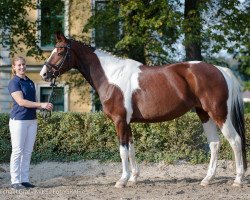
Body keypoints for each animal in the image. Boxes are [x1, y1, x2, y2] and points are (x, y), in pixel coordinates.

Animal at [39, 32, 246, 188]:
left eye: (60, 51)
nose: (44, 73)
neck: (111, 76)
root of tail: (220, 70)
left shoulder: (120, 121)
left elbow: (122, 150)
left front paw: (122, 180)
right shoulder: (127, 122)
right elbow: (131, 149)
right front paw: (133, 178)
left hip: (219, 114)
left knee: (235, 140)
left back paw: (238, 179)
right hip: (204, 114)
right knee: (214, 144)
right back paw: (207, 179)